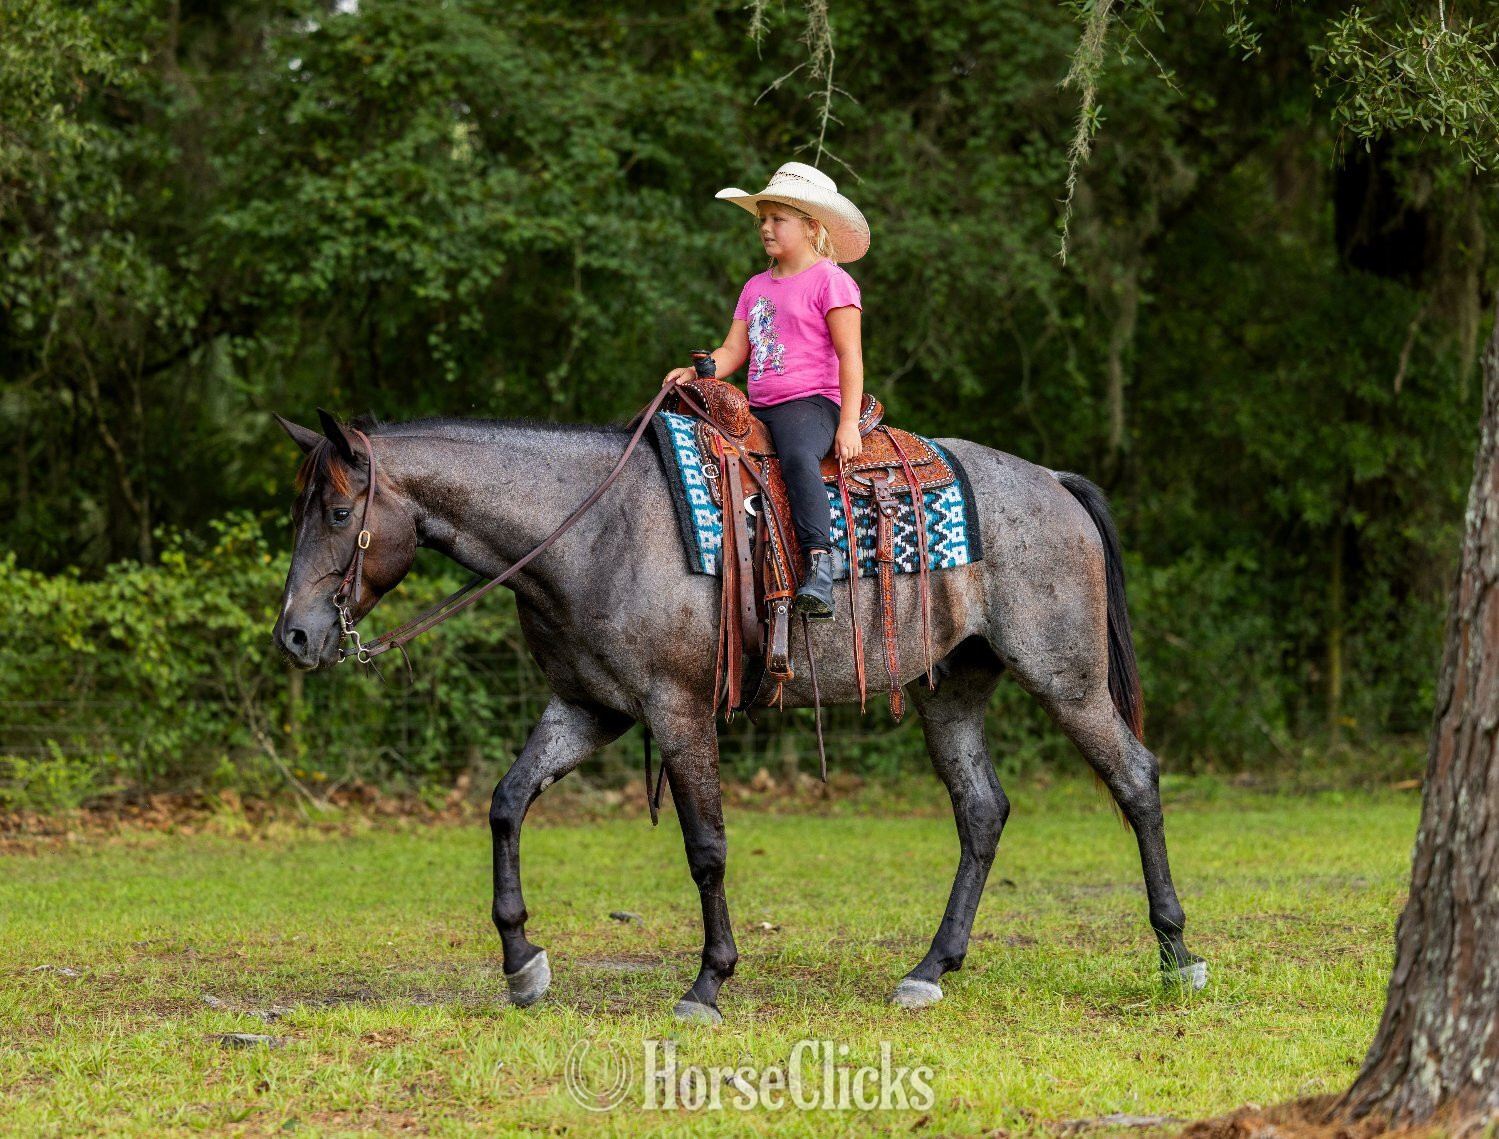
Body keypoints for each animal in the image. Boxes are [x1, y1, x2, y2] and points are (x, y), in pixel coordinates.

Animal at [270, 407, 1207, 1024]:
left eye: (341, 512)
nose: (296, 635)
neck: (592, 532)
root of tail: (1053, 482)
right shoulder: (587, 708)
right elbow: (505, 803)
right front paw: (521, 963)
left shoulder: (676, 710)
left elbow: (706, 847)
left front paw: (708, 983)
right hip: (951, 688)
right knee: (981, 810)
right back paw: (929, 968)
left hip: (1066, 678)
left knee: (1134, 778)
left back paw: (1175, 954)